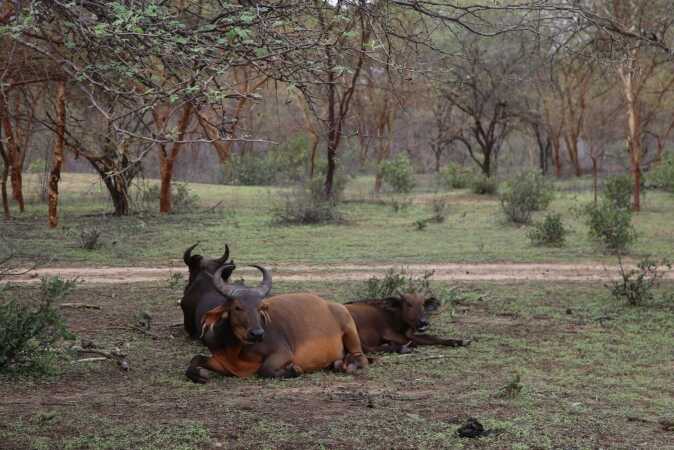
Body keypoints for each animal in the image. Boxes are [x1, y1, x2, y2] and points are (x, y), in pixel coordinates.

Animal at [186, 264, 368, 381]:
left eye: (260, 307)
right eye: (237, 307)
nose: (257, 334)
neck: (236, 348)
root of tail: (333, 305)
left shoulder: (283, 353)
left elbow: (265, 370)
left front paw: (293, 369)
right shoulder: (222, 362)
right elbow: (194, 360)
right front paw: (200, 375)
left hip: (350, 331)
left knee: (362, 358)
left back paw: (346, 366)